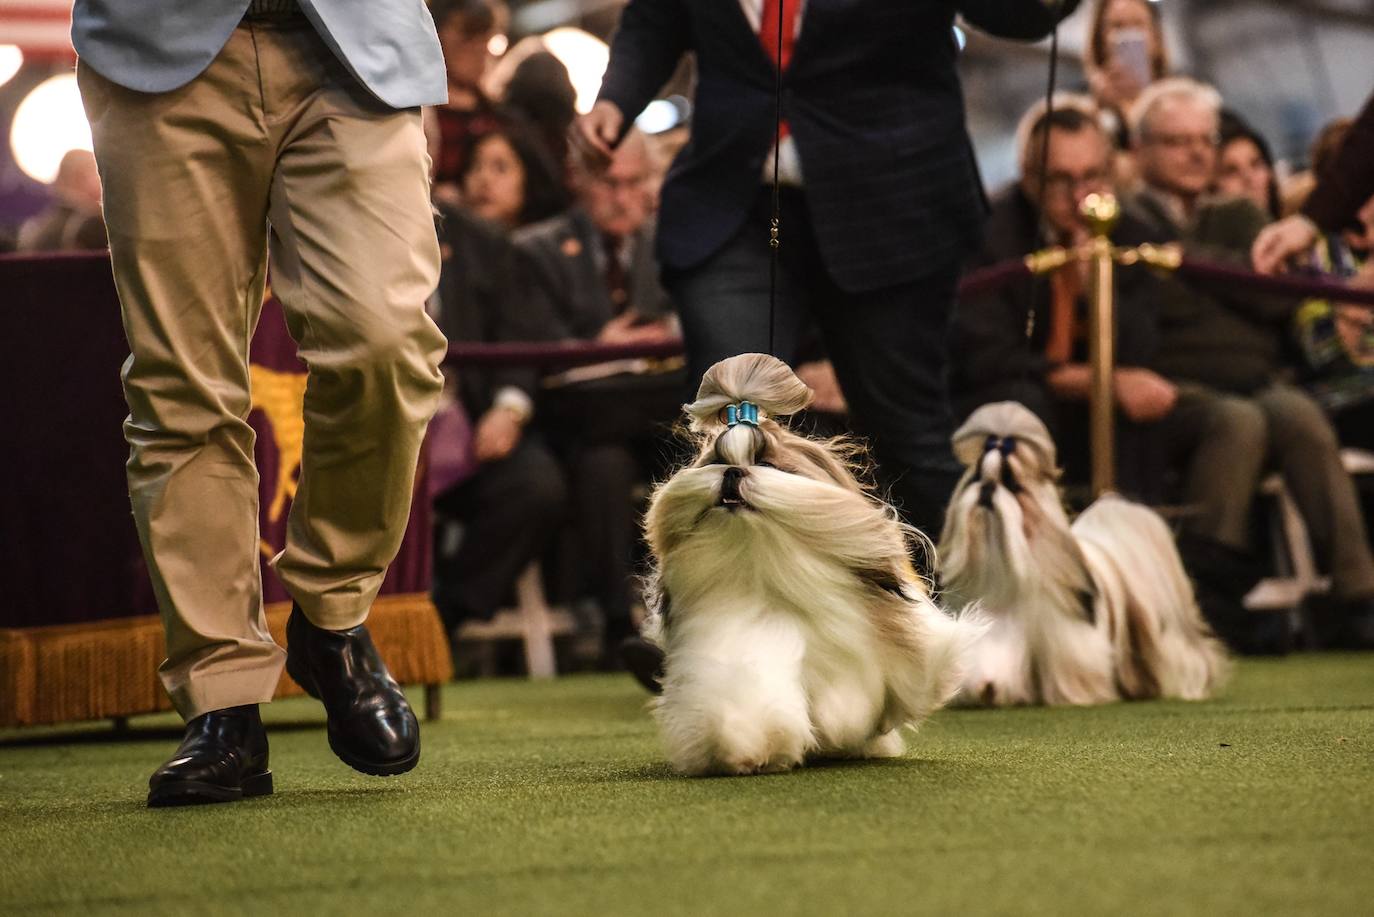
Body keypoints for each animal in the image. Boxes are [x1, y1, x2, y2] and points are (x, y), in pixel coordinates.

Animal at [939, 398, 1231, 709]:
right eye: (977, 478)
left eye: (1011, 483)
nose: (987, 487)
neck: (1013, 564)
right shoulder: (996, 626)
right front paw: (986, 688)